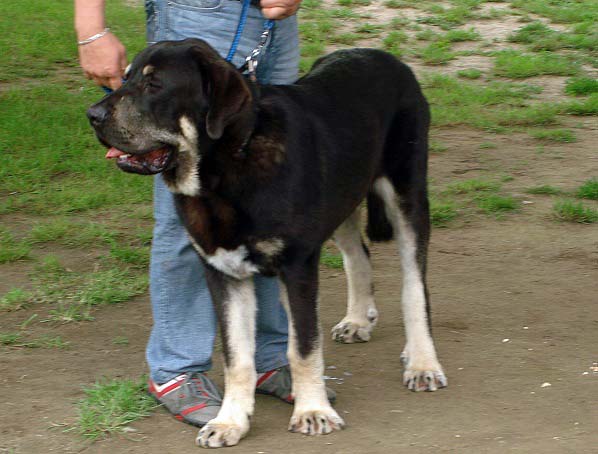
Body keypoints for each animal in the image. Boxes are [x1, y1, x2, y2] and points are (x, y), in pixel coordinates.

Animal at [88, 38, 446, 446]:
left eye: (155, 84)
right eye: (125, 77)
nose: (92, 114)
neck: (225, 169)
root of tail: (384, 55)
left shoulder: (298, 266)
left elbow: (303, 348)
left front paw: (313, 411)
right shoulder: (223, 272)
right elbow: (237, 357)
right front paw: (230, 421)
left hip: (407, 195)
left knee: (414, 286)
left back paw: (422, 361)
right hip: (341, 198)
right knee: (359, 256)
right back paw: (357, 320)